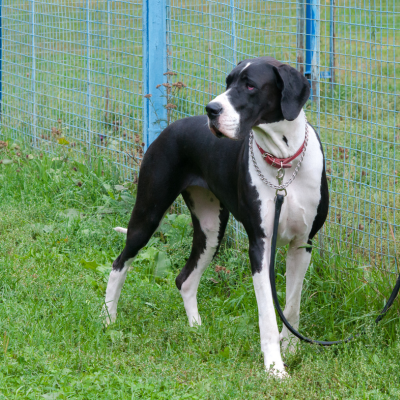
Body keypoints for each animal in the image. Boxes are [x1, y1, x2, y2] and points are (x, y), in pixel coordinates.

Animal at [104, 57, 328, 378]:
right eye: (227, 82)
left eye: (250, 85)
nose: (211, 109)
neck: (283, 161)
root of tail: (170, 128)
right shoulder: (259, 247)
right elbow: (268, 316)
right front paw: (275, 368)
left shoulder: (302, 244)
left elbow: (292, 305)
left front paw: (292, 349)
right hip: (146, 216)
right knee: (119, 263)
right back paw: (109, 319)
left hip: (211, 230)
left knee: (184, 279)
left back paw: (196, 330)